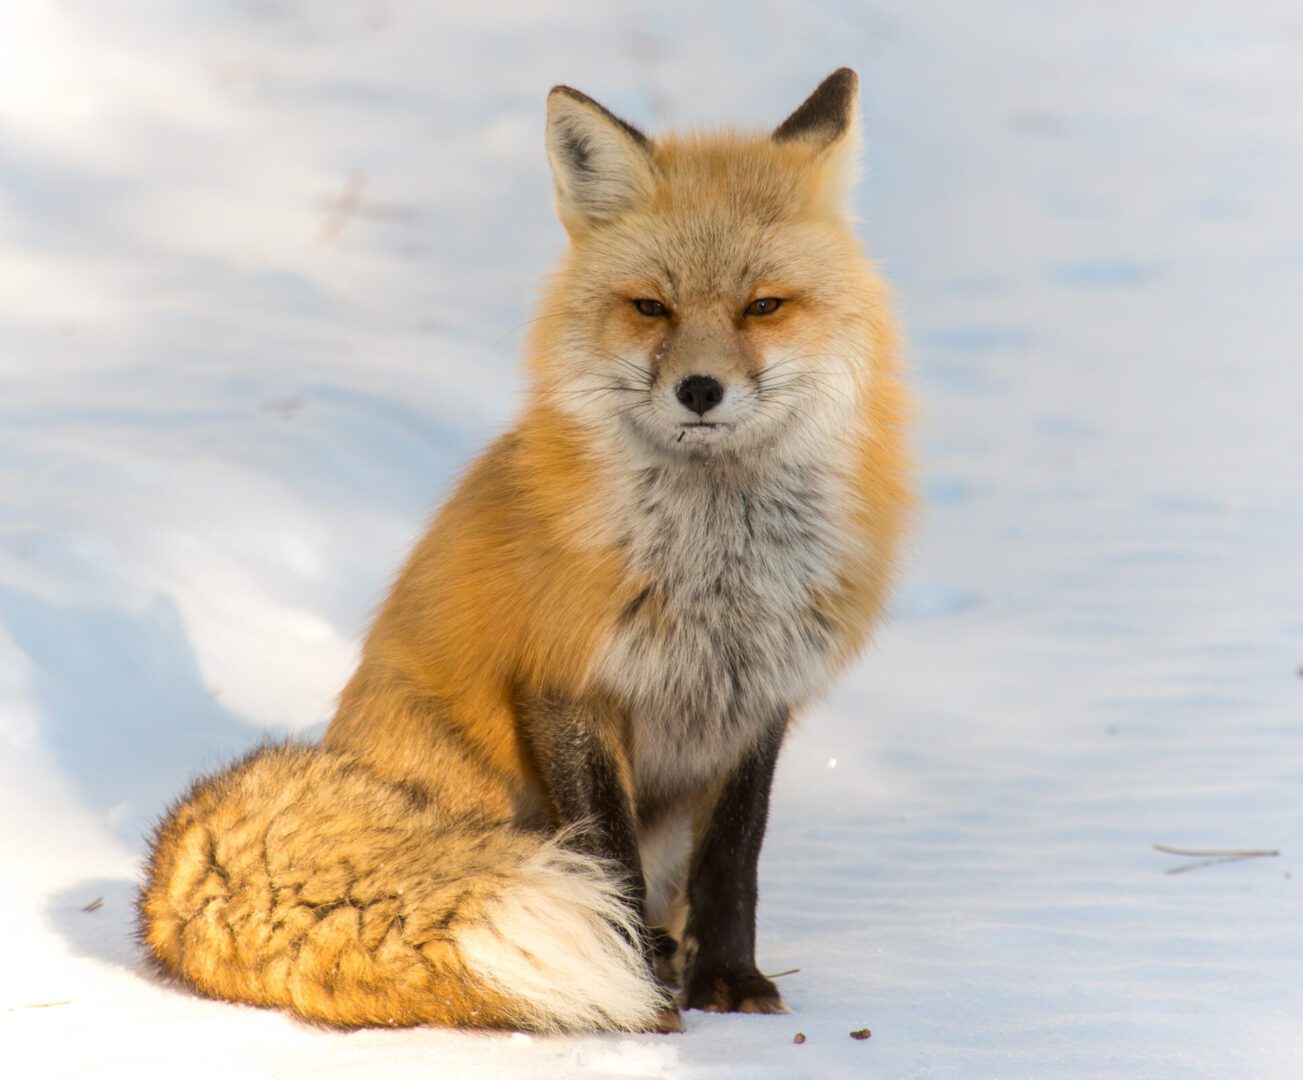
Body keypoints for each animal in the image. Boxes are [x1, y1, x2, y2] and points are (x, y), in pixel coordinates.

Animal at [138, 67, 911, 1035]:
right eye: (651, 306)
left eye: (763, 306)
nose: (700, 390)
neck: (715, 570)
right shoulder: (565, 680)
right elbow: (608, 858)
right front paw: (645, 995)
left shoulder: (761, 695)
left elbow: (734, 860)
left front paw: (729, 982)